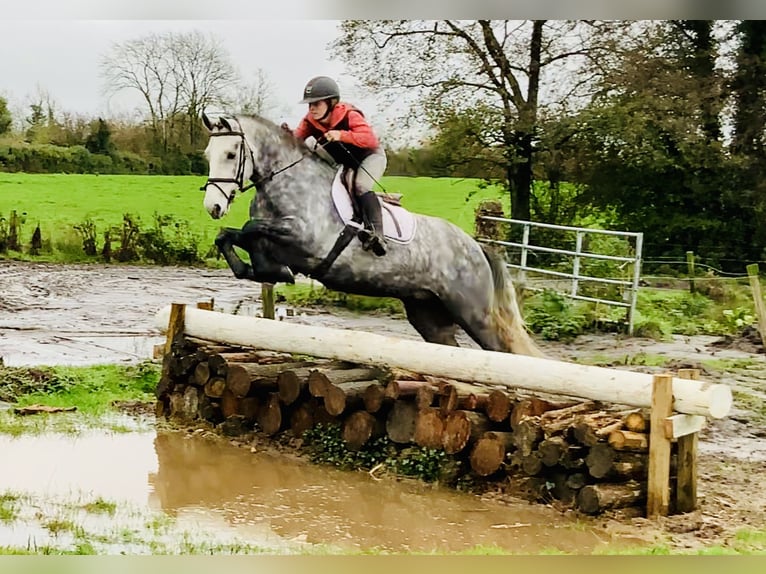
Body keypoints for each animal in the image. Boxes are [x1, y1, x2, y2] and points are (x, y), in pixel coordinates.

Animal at [200, 112, 543, 357]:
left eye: (230, 154)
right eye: (208, 154)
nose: (213, 206)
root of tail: (477, 247)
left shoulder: (306, 241)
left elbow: (251, 230)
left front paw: (272, 270)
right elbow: (231, 236)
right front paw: (257, 269)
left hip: (474, 313)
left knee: (505, 350)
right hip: (429, 314)